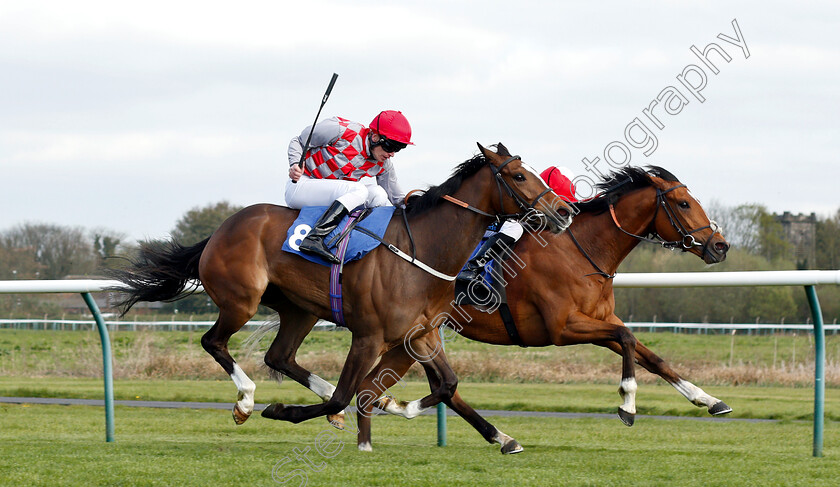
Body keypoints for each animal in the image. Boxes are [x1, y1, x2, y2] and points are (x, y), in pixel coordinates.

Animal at [108, 142, 576, 428]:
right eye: (519, 176)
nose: (564, 211)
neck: (423, 249)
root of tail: (220, 229)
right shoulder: (368, 336)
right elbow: (344, 396)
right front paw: (281, 410)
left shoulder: (421, 332)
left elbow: (447, 384)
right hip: (241, 300)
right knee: (214, 342)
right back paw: (246, 400)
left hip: (300, 308)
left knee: (280, 356)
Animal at [260, 167, 728, 454]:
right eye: (684, 204)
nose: (720, 245)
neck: (581, 250)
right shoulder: (562, 327)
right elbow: (628, 339)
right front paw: (628, 405)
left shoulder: (599, 320)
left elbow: (651, 355)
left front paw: (708, 398)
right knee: (382, 387)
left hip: (414, 333)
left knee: (383, 387)